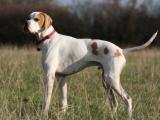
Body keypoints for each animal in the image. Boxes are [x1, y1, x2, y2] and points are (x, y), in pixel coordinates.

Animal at [24, 11, 158, 118]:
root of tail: (120, 50)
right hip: (106, 82)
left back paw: (128, 116)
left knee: (127, 99)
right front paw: (63, 114)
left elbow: (47, 100)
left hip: (112, 79)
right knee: (114, 103)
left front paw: (44, 114)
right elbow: (63, 101)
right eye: (28, 17)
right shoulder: (62, 78)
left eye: (36, 19)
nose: (25, 23)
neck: (48, 39)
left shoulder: (49, 76)